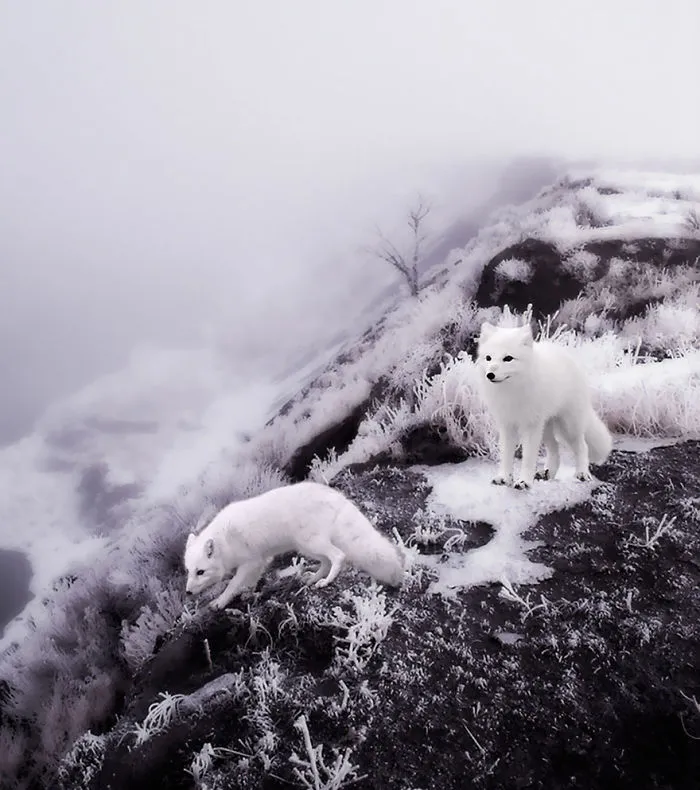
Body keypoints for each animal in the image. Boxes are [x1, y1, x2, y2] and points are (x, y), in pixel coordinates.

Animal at [184, 481, 404, 610]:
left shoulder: (250, 561)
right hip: (306, 546)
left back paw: (326, 581)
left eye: (200, 572)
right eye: (189, 571)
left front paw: (220, 602)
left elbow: (233, 584)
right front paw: (248, 593)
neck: (225, 541)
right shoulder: (261, 560)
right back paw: (312, 578)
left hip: (310, 542)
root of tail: (336, 495)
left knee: (338, 556)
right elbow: (250, 581)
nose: (187, 593)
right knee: (326, 561)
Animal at [476, 321, 613, 490]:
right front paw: (503, 478)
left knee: (582, 446)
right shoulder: (507, 425)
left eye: (508, 358)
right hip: (545, 428)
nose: (490, 375)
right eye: (488, 358)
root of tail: (568, 357)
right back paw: (548, 473)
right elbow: (506, 456)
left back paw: (582, 473)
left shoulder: (530, 426)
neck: (511, 392)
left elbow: (528, 458)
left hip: (568, 426)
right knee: (555, 449)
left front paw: (524, 482)